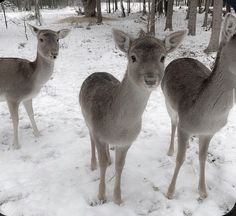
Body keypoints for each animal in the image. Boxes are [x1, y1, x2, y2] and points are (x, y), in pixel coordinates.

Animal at [79, 28, 186, 204]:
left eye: (162, 57)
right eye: (133, 57)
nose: (150, 79)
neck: (119, 127)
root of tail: (95, 72)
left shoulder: (127, 141)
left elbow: (120, 165)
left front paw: (118, 198)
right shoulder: (99, 133)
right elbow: (102, 163)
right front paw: (101, 196)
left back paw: (109, 157)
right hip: (85, 117)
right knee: (90, 138)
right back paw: (93, 163)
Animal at [161, 13, 236, 199]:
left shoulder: (209, 132)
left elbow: (202, 157)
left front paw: (203, 191)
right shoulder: (185, 126)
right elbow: (180, 158)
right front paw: (170, 192)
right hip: (167, 102)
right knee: (173, 123)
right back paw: (170, 150)